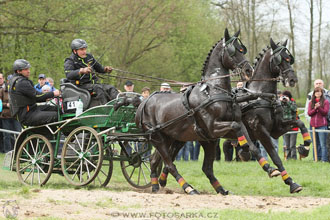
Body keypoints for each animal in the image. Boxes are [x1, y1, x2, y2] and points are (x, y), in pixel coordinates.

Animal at [135, 28, 278, 194]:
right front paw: (244, 150)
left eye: (242, 49)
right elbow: (236, 129)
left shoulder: (224, 130)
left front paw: (267, 167)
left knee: (156, 161)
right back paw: (188, 188)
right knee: (170, 164)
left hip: (170, 137)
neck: (213, 91)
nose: (249, 70)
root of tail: (144, 103)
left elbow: (250, 142)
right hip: (157, 138)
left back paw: (157, 186)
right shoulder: (213, 127)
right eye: (233, 51)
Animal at [240, 38, 312, 193]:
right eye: (279, 60)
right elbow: (275, 156)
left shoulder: (276, 129)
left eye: (289, 58)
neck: (261, 96)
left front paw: (305, 147)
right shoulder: (260, 131)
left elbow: (300, 123)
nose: (292, 79)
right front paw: (289, 181)